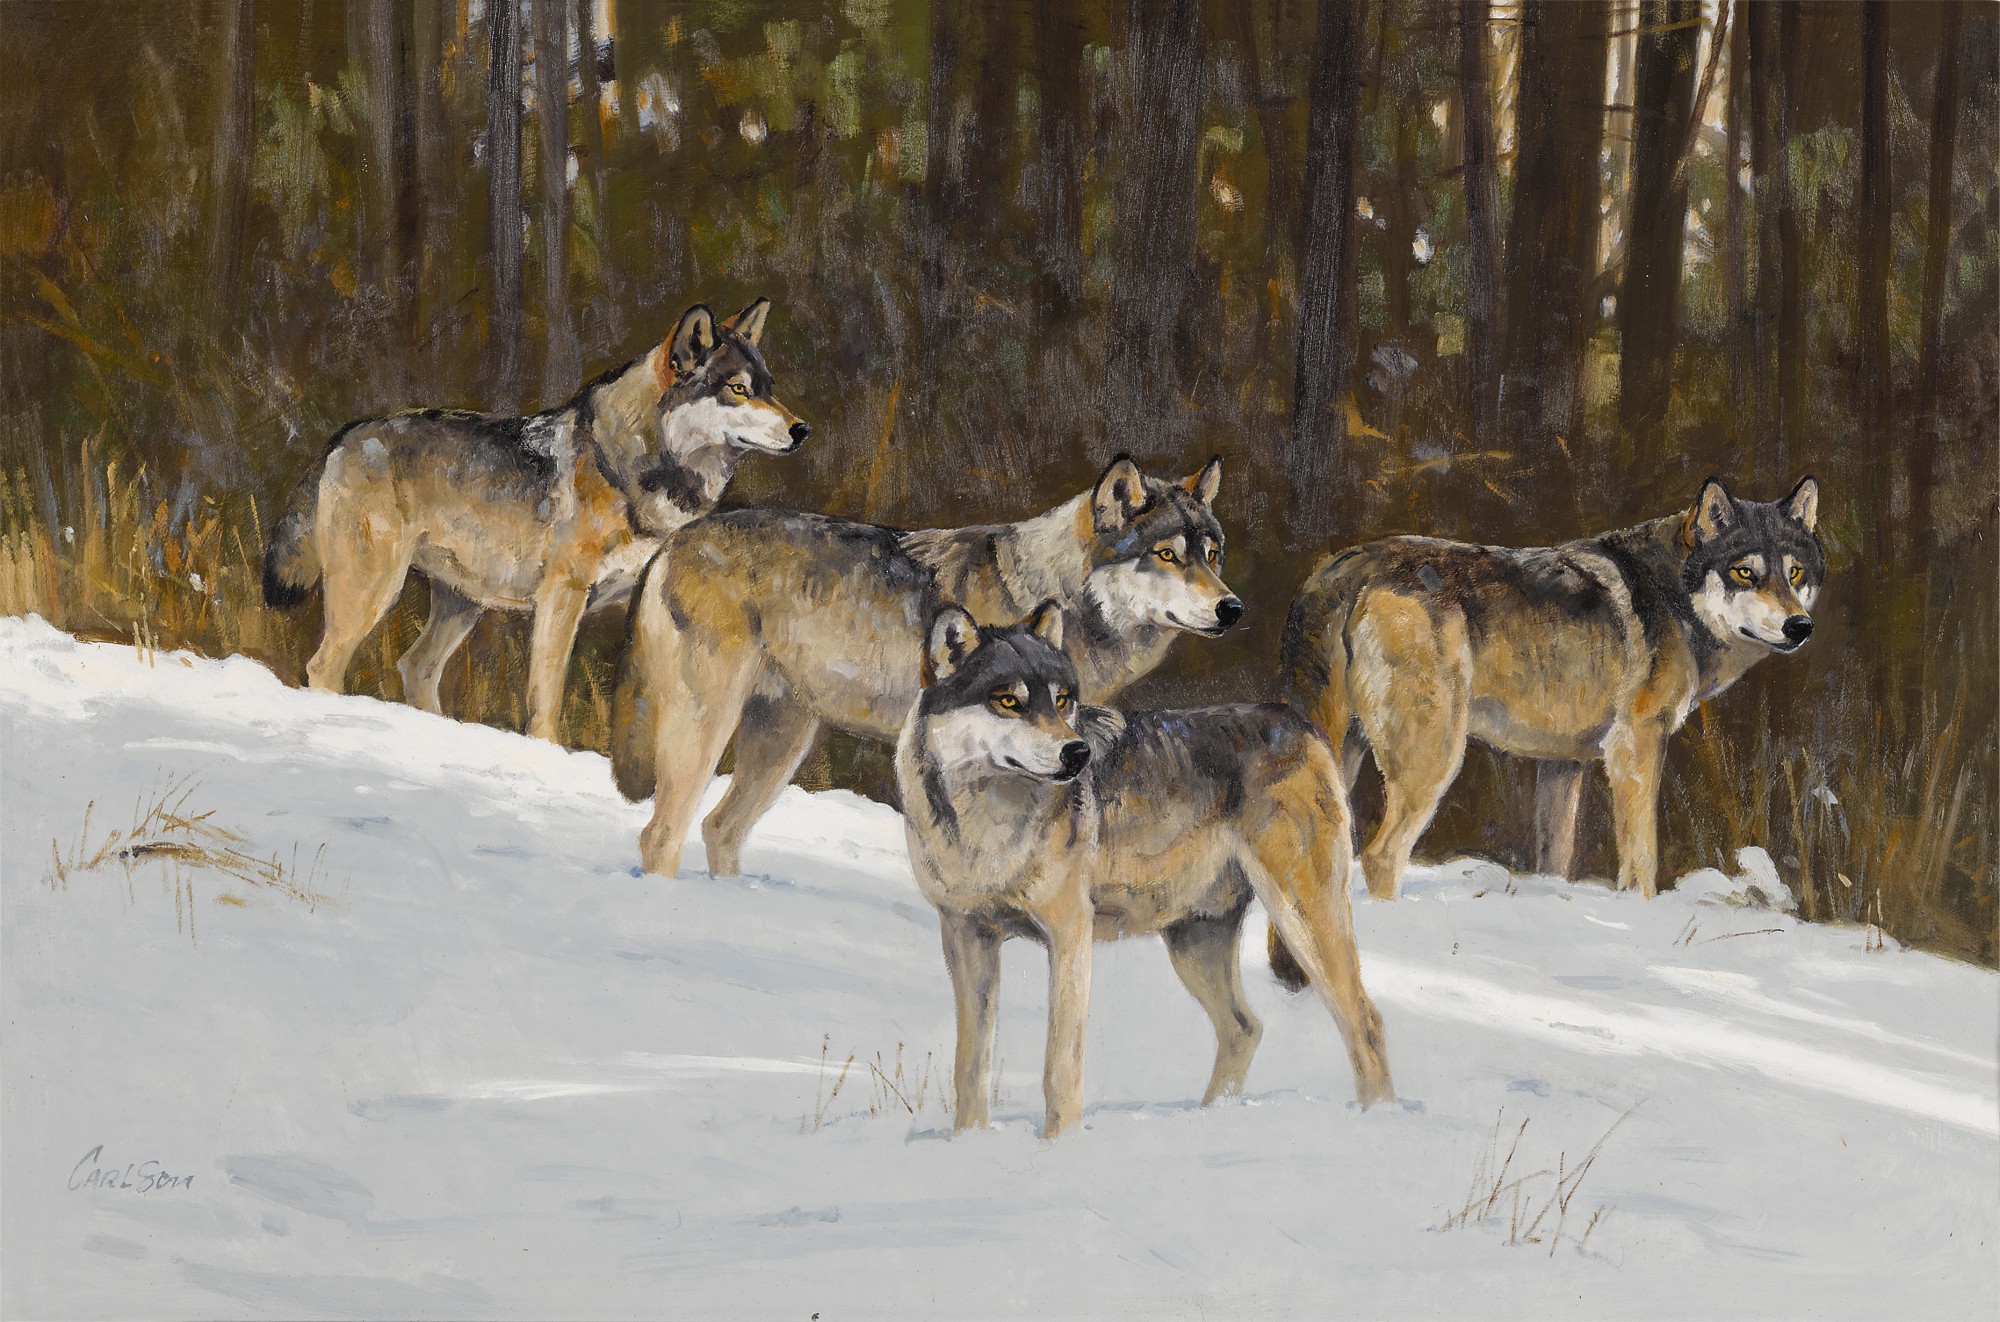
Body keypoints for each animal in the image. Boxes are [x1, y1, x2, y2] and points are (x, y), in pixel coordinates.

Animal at [261, 299, 807, 742]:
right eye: (738, 389)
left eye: (770, 389)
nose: (803, 429)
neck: (625, 466)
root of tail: (344, 437)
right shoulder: (562, 596)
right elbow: (546, 700)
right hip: (374, 592)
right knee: (323, 666)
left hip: (461, 605)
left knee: (414, 667)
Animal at [610, 454, 1243, 879]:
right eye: (1167, 555)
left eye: (1212, 556)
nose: (1233, 609)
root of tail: (672, 543)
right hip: (711, 729)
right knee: (660, 835)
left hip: (782, 743)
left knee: (718, 830)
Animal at [896, 603, 1395, 1139]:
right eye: (1008, 701)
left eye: (1063, 701)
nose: (1077, 753)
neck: (988, 833)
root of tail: (1294, 719)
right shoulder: (966, 938)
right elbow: (970, 1063)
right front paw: (967, 1142)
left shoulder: (1069, 934)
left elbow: (1059, 1066)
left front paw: (1058, 1146)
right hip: (1194, 945)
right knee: (1245, 1027)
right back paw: (1208, 1121)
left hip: (1302, 921)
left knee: (1365, 1020)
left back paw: (1380, 1121)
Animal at [1278, 476, 1824, 913]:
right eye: (1745, 572)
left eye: (1795, 573)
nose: (1800, 627)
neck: (1673, 595)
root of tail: (1345, 569)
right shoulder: (1635, 747)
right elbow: (1641, 860)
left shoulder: (1564, 766)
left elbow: (1555, 859)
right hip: (1435, 758)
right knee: (1379, 855)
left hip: (1341, 752)